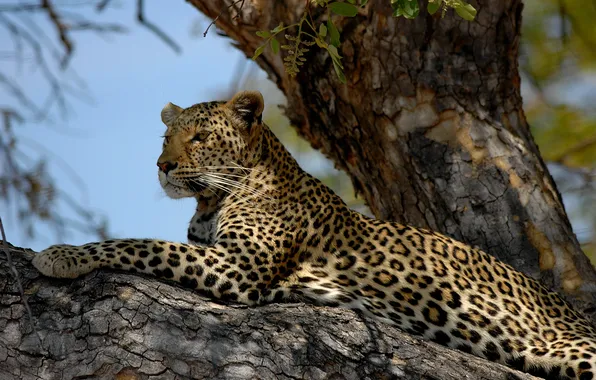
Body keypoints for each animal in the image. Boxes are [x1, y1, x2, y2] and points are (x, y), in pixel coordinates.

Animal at [33, 90, 596, 378]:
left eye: (200, 136)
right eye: (166, 136)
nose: (162, 166)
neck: (211, 200)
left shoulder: (237, 268)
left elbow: (140, 243)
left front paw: (61, 255)